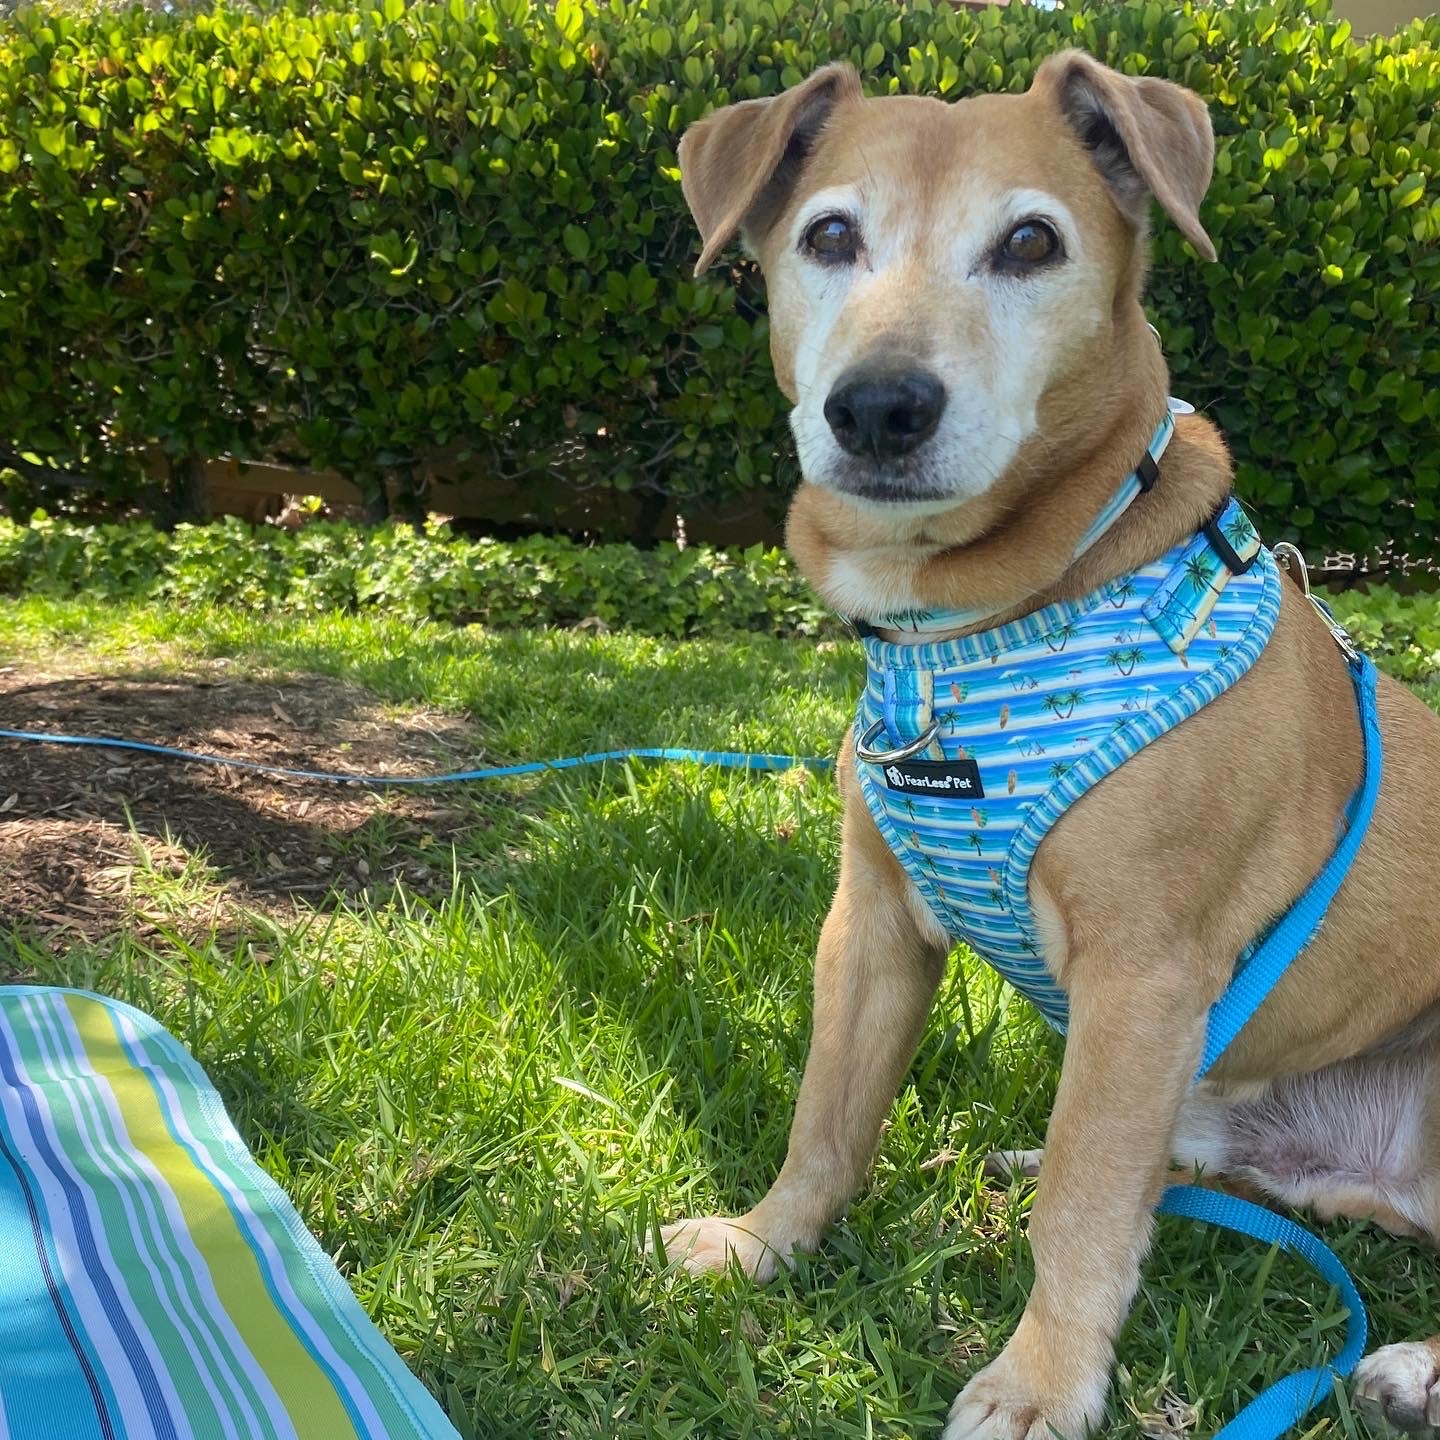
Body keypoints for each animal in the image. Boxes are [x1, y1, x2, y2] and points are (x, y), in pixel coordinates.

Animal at [653, 50, 1440, 1434]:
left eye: (1030, 241)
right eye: (830, 236)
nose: (880, 407)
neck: (973, 631)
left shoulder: (1144, 977)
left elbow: (1082, 1205)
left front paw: (1042, 1381)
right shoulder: (871, 927)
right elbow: (827, 1118)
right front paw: (768, 1242)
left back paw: (1416, 1368)